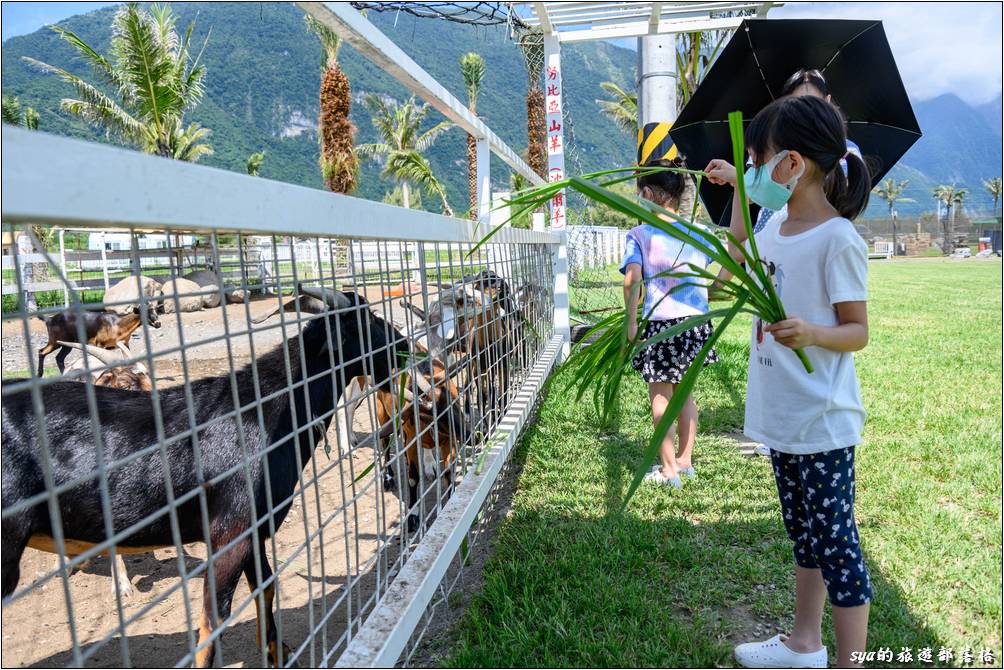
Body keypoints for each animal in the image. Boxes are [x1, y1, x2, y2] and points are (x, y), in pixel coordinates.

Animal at [1, 287, 407, 666]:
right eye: (367, 321)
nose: (403, 346)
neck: (267, 412)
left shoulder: (253, 529)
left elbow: (267, 587)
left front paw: (277, 652)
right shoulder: (229, 532)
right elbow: (213, 621)